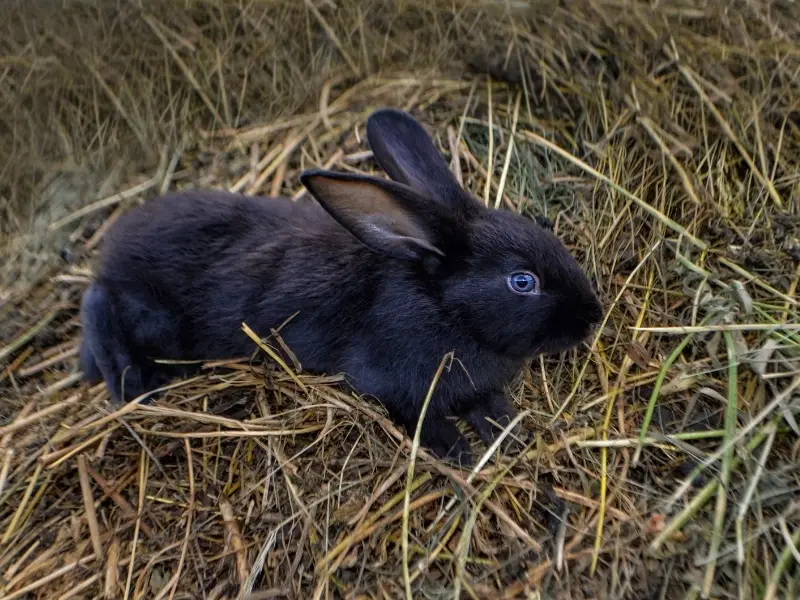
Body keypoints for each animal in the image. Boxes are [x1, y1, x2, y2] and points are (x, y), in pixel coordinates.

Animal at [81, 108, 604, 464]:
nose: (592, 317)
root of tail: (115, 243)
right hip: (159, 323)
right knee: (98, 301)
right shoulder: (394, 387)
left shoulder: (477, 386)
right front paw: (462, 454)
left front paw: (509, 436)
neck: (446, 309)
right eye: (522, 281)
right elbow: (427, 421)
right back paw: (125, 382)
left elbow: (491, 408)